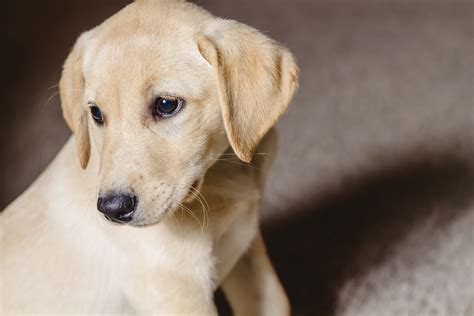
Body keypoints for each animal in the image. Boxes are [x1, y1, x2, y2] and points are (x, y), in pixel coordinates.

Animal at [0, 0, 296, 314]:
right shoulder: (177, 292)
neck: (219, 177)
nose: (112, 209)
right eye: (96, 113)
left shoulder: (246, 250)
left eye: (166, 104)